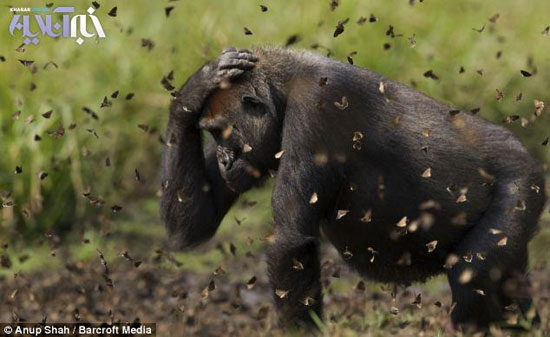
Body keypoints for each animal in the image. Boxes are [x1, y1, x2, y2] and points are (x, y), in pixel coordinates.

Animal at [161, 46, 548, 328]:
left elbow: (290, 242)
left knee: (475, 269)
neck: (285, 87)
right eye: (211, 134)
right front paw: (194, 89)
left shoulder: (316, 108)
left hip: (522, 180)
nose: (224, 161)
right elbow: (194, 223)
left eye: (223, 131)